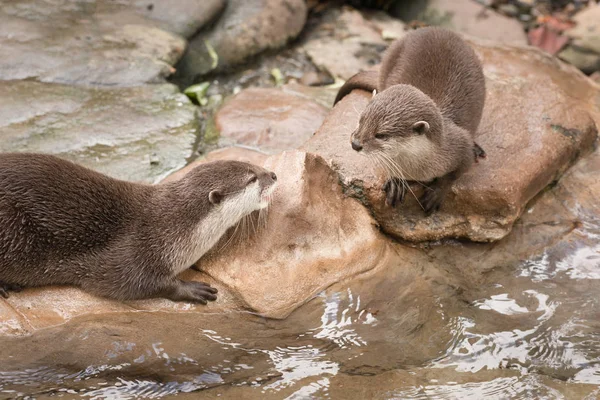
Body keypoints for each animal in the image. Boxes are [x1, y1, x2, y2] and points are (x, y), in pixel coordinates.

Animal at [0, 153, 276, 304]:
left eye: (253, 166)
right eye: (252, 179)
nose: (273, 175)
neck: (173, 226)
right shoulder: (136, 249)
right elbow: (130, 282)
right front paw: (191, 288)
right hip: (11, 230)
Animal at [336, 27, 486, 216]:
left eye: (381, 135)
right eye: (360, 121)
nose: (355, 144)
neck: (418, 169)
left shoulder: (460, 148)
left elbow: (456, 172)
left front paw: (437, 192)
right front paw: (396, 183)